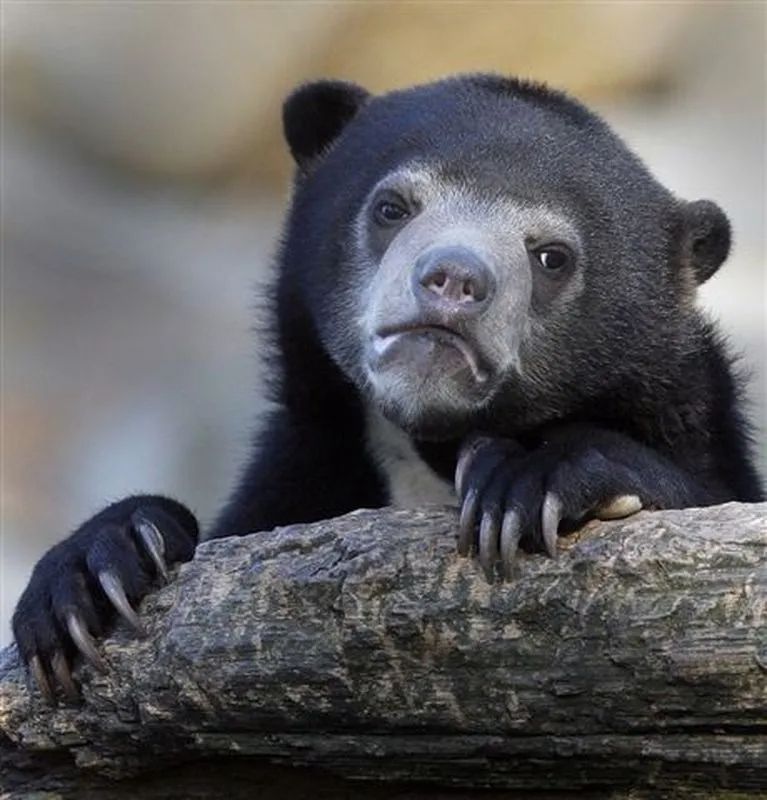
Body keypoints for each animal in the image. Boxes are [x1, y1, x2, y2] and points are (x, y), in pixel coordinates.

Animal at [12, 74, 764, 702]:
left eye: (551, 256)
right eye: (392, 207)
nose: (454, 280)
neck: (426, 446)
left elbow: (703, 488)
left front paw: (526, 480)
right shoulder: (310, 462)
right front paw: (93, 573)